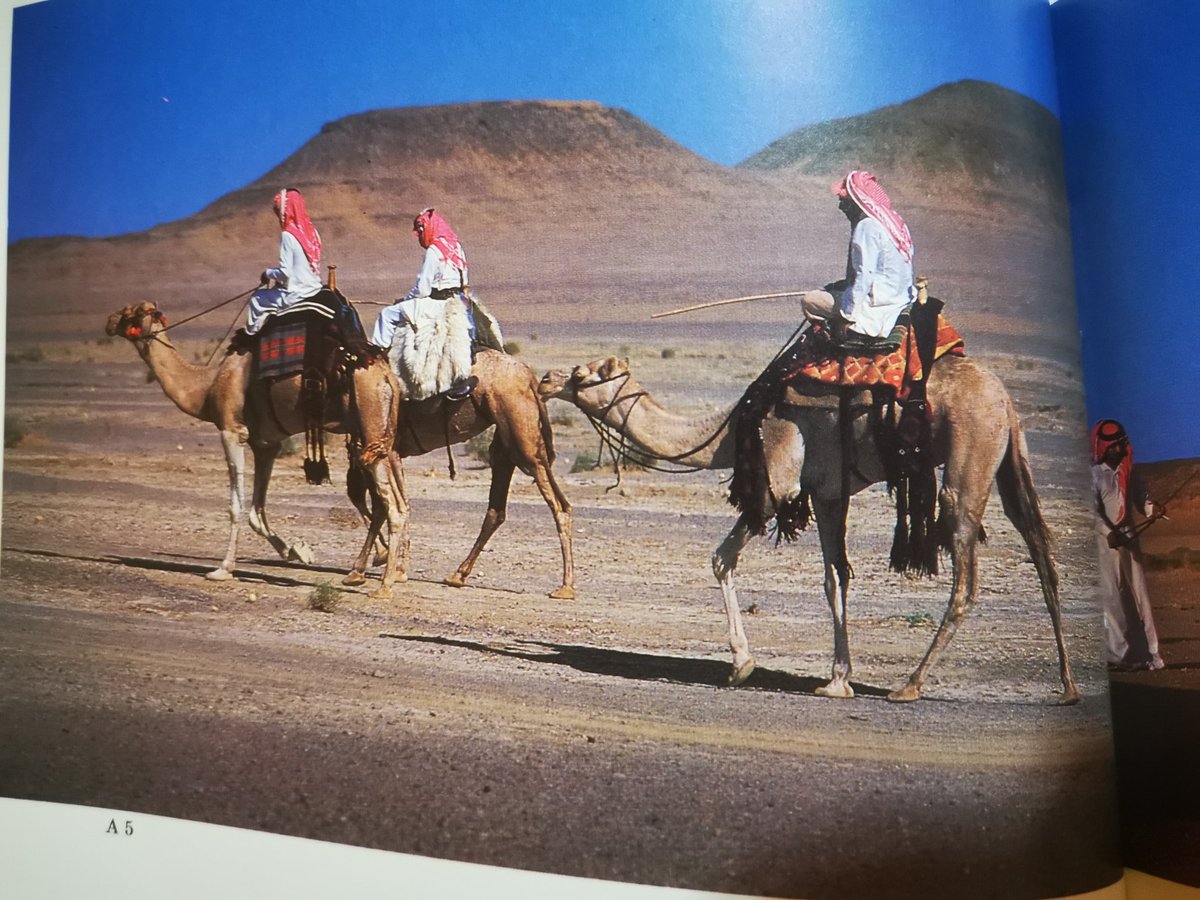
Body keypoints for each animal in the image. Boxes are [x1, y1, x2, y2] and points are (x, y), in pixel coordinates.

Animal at [106, 302, 410, 598]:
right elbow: (257, 511)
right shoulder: (267, 445)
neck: (207, 387)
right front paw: (298, 551)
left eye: (131, 313)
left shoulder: (231, 431)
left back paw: (383, 586)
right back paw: (372, 572)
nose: (109, 321)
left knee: (393, 506)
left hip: (370, 422)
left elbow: (236, 506)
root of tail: (385, 375)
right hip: (379, 436)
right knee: (394, 501)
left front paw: (222, 569)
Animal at [357, 347, 576, 600]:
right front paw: (395, 569)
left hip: (524, 444)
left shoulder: (376, 447)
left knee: (559, 505)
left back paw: (565, 587)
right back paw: (458, 575)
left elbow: (382, 505)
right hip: (505, 446)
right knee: (497, 510)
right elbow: (397, 503)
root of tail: (529, 376)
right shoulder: (390, 450)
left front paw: (365, 570)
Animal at [539, 354, 1080, 704]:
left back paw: (909, 685)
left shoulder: (777, 484)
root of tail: (1005, 401)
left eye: (581, 372)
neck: (731, 429)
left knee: (966, 580)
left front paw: (740, 665)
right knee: (1042, 551)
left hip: (969, 457)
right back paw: (1069, 688)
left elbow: (721, 558)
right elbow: (835, 577)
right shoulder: (828, 494)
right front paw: (838, 680)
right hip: (1008, 458)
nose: (544, 379)